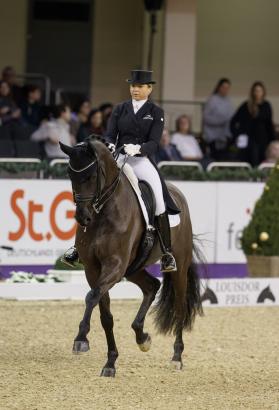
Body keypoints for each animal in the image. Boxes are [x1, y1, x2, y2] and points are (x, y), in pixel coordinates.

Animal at [59, 139, 203, 378]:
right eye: (70, 174)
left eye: (91, 176)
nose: (82, 217)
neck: (105, 211)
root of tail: (176, 193)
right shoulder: (93, 268)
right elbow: (105, 314)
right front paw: (110, 362)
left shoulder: (114, 265)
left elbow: (92, 296)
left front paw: (81, 339)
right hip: (133, 268)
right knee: (151, 286)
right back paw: (142, 337)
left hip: (179, 267)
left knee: (179, 308)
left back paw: (176, 358)